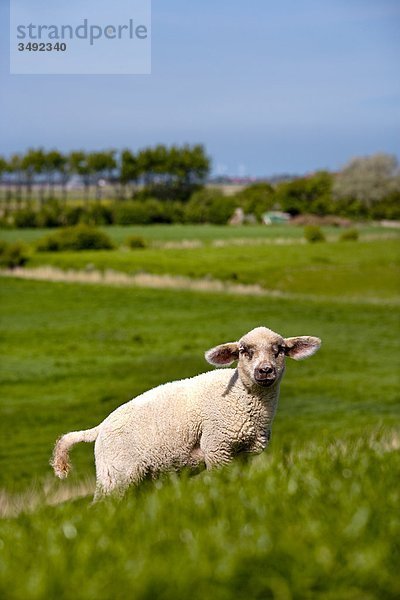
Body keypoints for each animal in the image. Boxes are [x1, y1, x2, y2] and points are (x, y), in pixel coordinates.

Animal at [51, 326, 322, 500]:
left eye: (280, 350)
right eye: (244, 351)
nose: (265, 371)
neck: (243, 399)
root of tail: (100, 427)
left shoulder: (244, 454)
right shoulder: (217, 447)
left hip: (137, 477)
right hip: (116, 474)